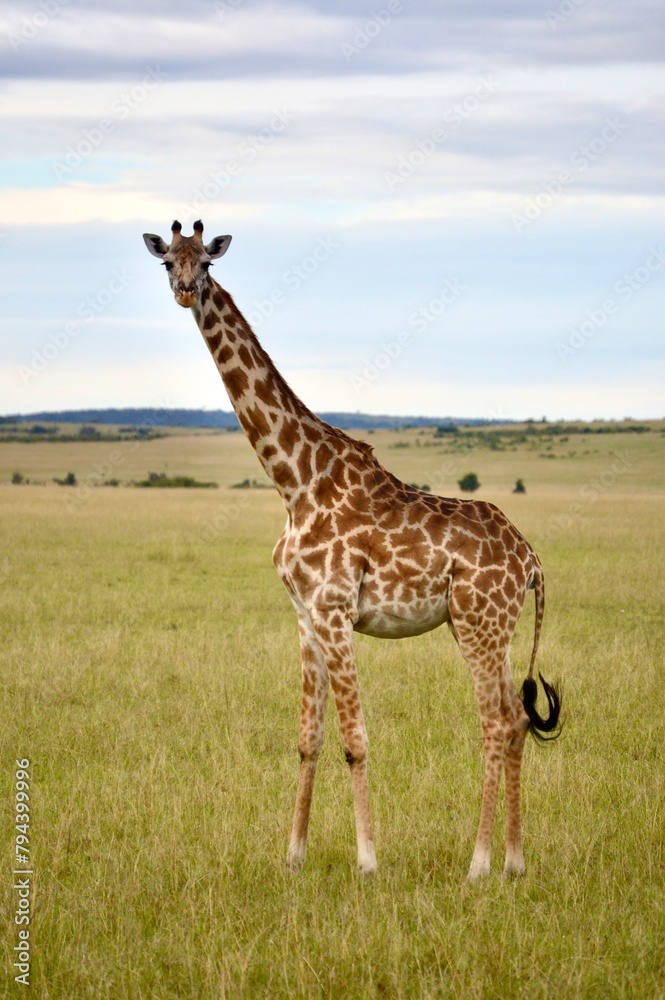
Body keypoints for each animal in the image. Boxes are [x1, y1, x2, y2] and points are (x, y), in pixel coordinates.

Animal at [143, 219, 556, 876]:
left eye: (206, 262)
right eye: (167, 263)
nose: (185, 290)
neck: (294, 482)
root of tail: (533, 562)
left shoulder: (336, 610)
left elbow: (355, 741)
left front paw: (367, 861)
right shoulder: (305, 615)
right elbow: (307, 739)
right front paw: (293, 856)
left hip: (478, 624)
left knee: (496, 722)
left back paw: (479, 864)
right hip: (494, 626)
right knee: (516, 720)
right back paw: (514, 862)